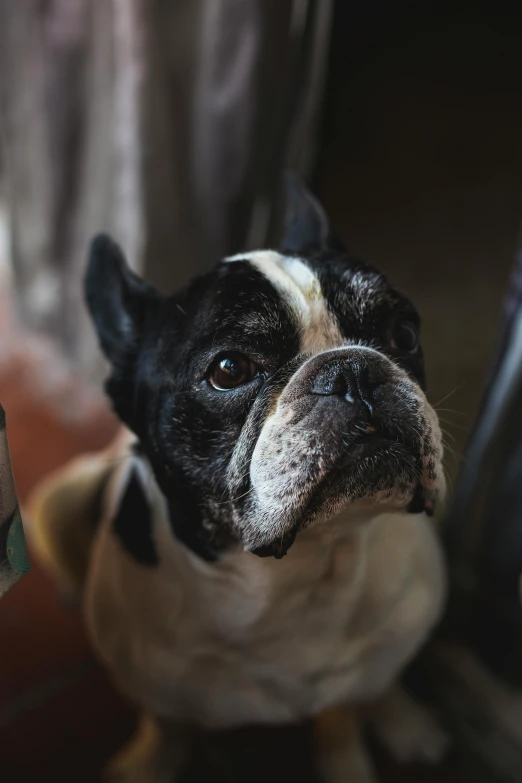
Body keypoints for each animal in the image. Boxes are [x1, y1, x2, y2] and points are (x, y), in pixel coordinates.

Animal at [26, 178, 444, 783]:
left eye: (404, 333)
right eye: (229, 371)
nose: (354, 369)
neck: (306, 568)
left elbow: (342, 722)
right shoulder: (158, 689)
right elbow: (166, 724)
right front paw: (148, 761)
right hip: (55, 500)